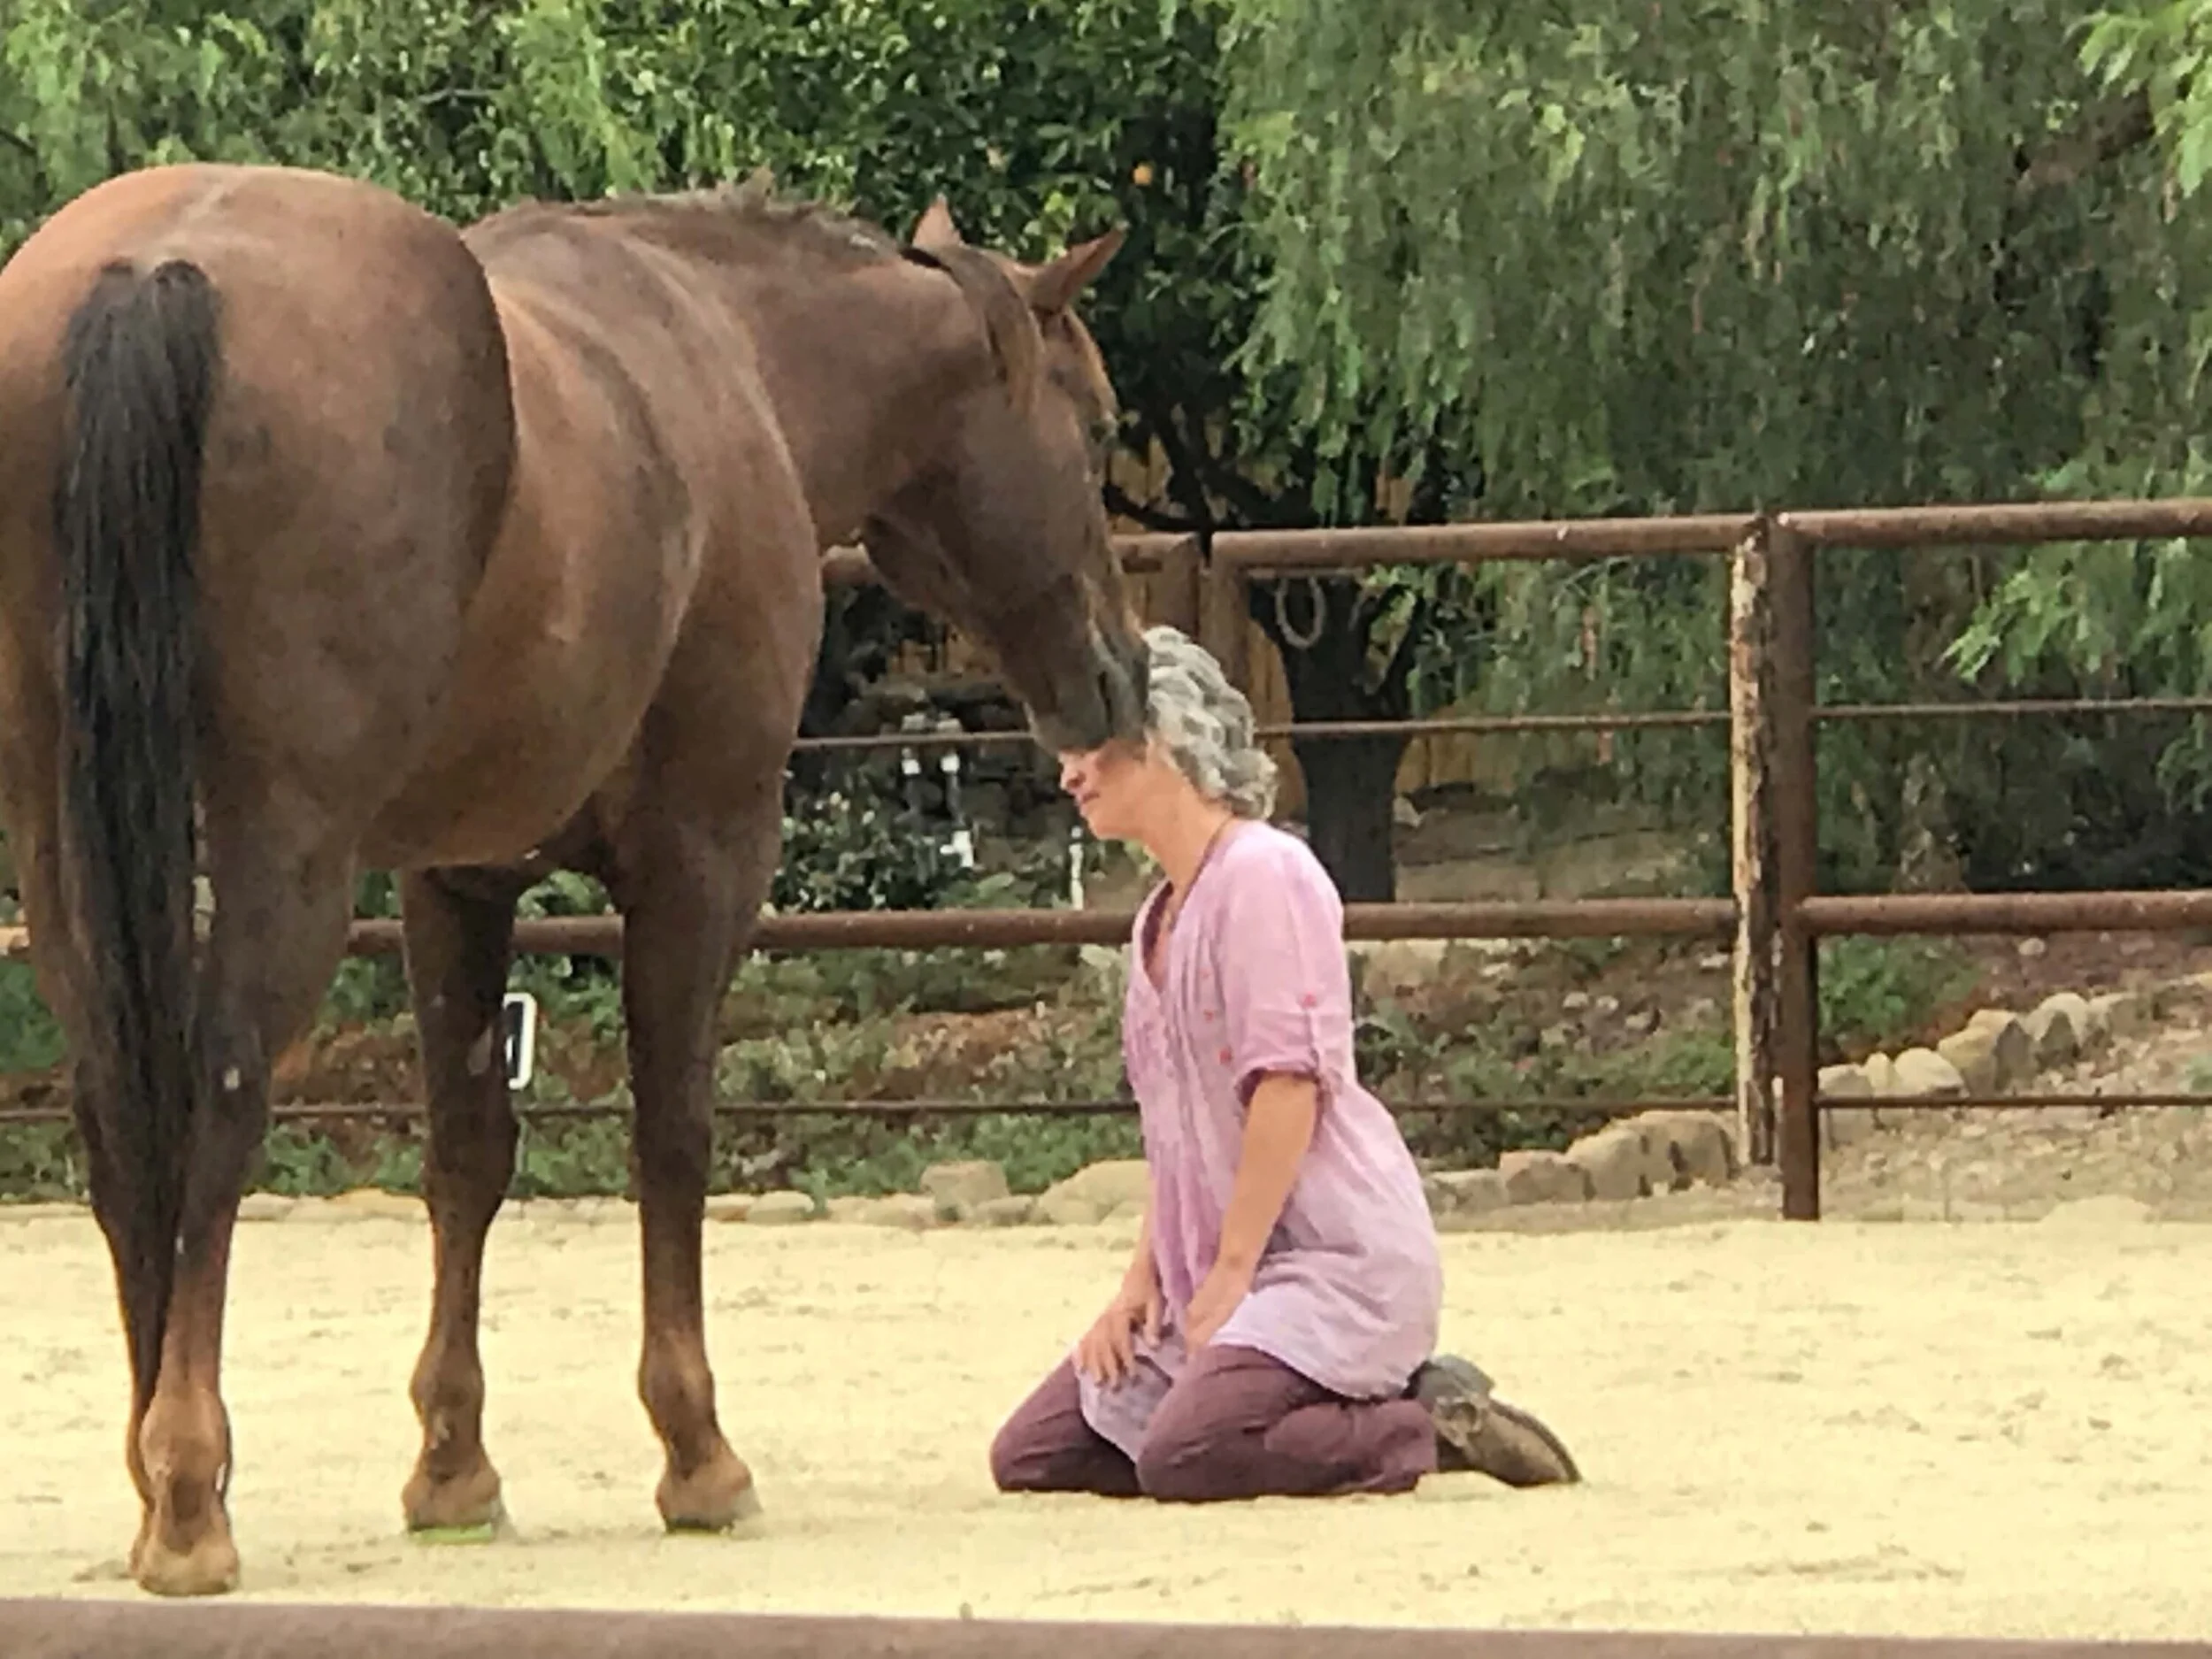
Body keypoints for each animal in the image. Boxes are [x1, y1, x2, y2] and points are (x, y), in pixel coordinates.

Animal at [0, 160, 1147, 1598]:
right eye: (1096, 430)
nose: (1118, 675)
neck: (731, 352)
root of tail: (159, 269)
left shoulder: (455, 881)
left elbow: (468, 1152)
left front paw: (452, 1466)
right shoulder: (700, 859)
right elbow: (674, 1134)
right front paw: (699, 1452)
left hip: (64, 840)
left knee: (118, 1101)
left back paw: (154, 1472)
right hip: (283, 853)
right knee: (219, 1098)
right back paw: (192, 1496)